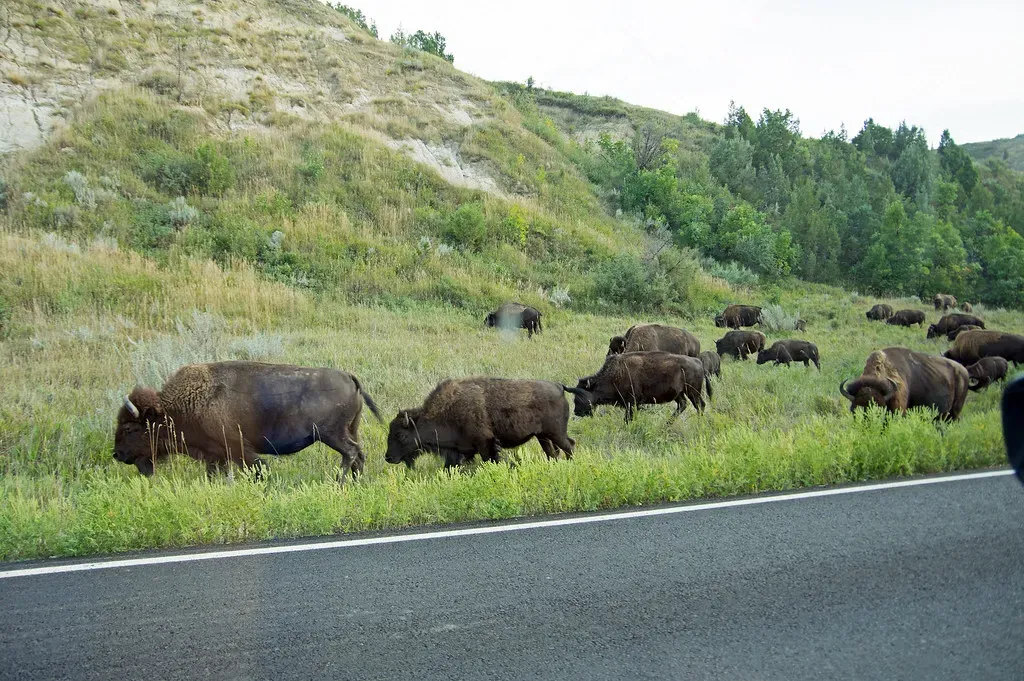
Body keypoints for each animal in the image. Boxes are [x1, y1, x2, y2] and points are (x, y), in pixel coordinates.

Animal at [115, 362, 381, 478]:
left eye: (129, 428)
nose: (116, 454)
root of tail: (348, 376)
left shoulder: (239, 450)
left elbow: (259, 468)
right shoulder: (215, 455)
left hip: (331, 434)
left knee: (351, 453)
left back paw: (338, 482)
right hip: (349, 430)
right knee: (359, 454)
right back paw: (357, 482)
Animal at [384, 378, 574, 468]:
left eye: (400, 434)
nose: (388, 457)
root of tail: (559, 386)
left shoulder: (486, 444)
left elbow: (491, 460)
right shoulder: (459, 452)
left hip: (556, 433)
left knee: (569, 446)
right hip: (543, 436)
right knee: (553, 453)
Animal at [566, 351, 710, 423]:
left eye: (579, 397)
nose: (576, 412)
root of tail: (698, 362)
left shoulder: (631, 403)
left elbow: (627, 419)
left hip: (693, 392)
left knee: (700, 405)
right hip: (679, 394)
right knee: (683, 405)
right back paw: (667, 425)